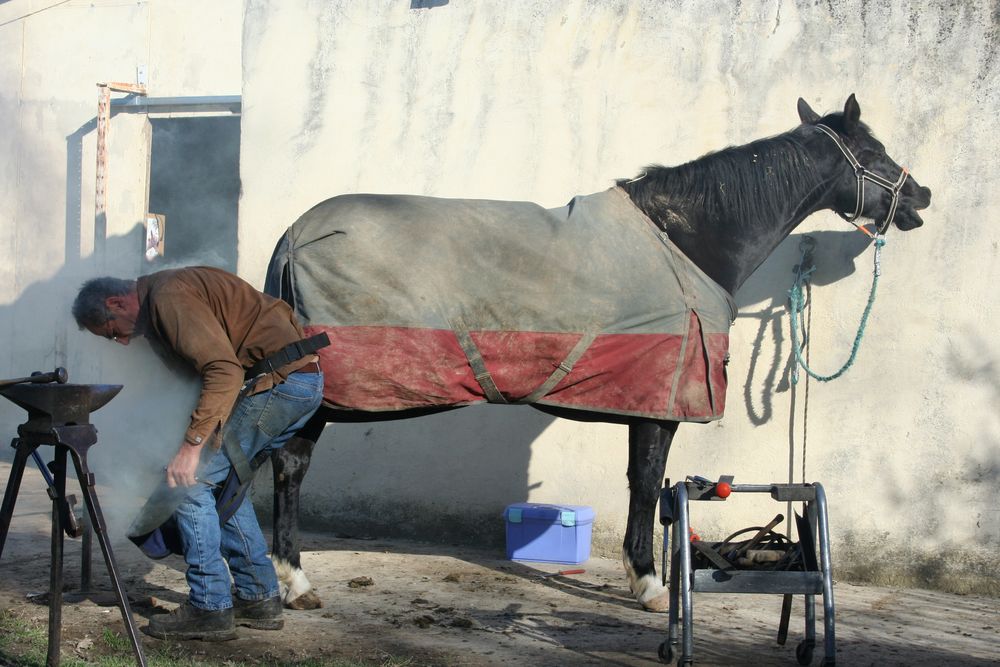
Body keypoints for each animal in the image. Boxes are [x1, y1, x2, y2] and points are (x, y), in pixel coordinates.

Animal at [260, 96, 928, 612]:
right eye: (873, 152)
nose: (920, 194)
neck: (690, 238)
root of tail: (295, 235)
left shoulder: (644, 400)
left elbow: (642, 484)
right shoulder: (661, 402)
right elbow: (648, 484)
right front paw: (651, 585)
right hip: (316, 394)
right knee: (289, 466)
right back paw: (295, 584)